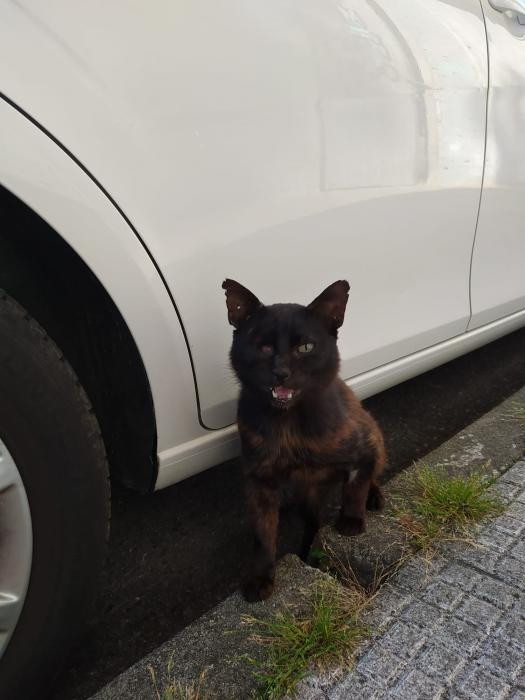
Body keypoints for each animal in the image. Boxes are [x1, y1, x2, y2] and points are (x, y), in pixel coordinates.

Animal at [222, 278, 386, 602]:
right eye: (263, 346)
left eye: (306, 347)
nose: (280, 372)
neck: (288, 426)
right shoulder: (260, 482)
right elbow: (262, 535)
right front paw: (261, 577)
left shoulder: (364, 448)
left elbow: (356, 486)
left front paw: (351, 521)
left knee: (371, 477)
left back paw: (374, 497)